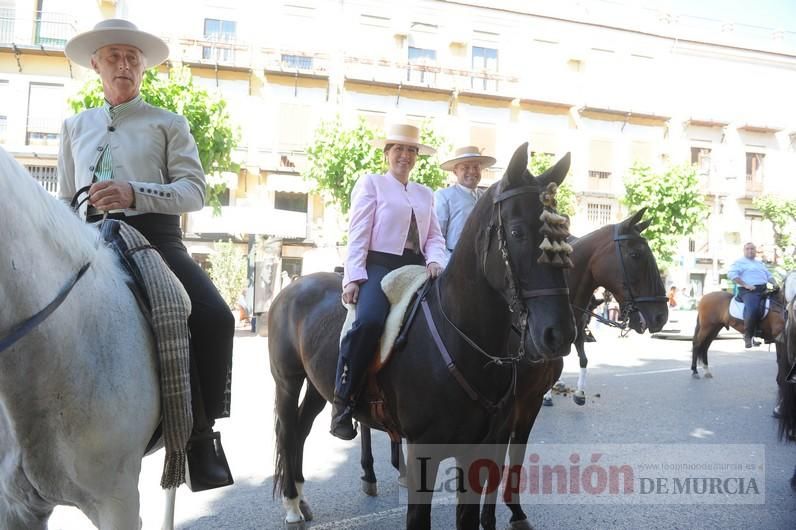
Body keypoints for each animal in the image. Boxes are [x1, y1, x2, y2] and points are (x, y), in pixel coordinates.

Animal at [270, 143, 576, 528]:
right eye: (518, 232)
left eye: (564, 236)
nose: (559, 333)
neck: (466, 343)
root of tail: (293, 286)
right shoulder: (423, 454)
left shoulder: (481, 447)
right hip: (288, 380)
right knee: (287, 430)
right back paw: (291, 504)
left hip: (317, 384)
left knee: (302, 426)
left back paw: (301, 494)